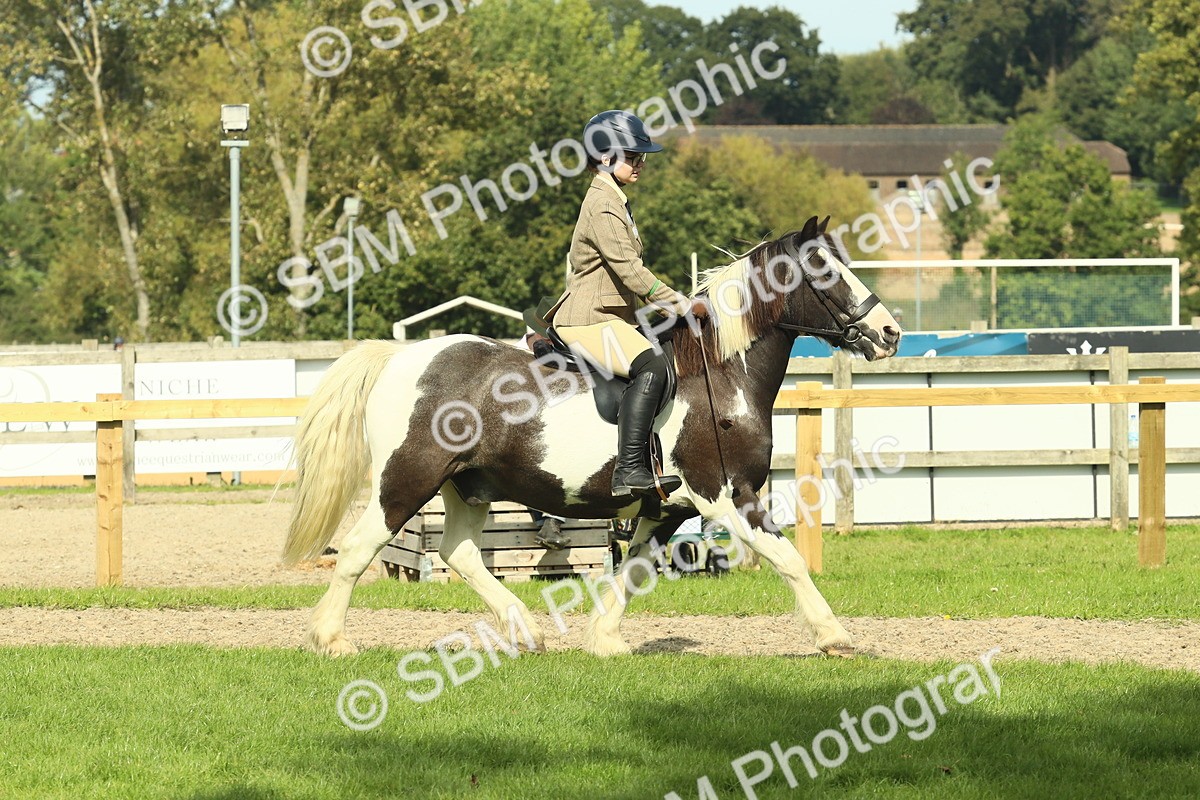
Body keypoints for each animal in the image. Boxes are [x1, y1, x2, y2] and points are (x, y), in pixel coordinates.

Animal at [282, 215, 901, 658]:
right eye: (822, 268)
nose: (889, 332)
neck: (720, 374)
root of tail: (401, 358)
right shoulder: (724, 496)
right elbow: (789, 559)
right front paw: (834, 636)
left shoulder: (667, 507)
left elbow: (634, 570)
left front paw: (603, 640)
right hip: (407, 479)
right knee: (360, 548)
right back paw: (332, 640)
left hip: (468, 485)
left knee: (459, 552)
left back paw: (525, 631)